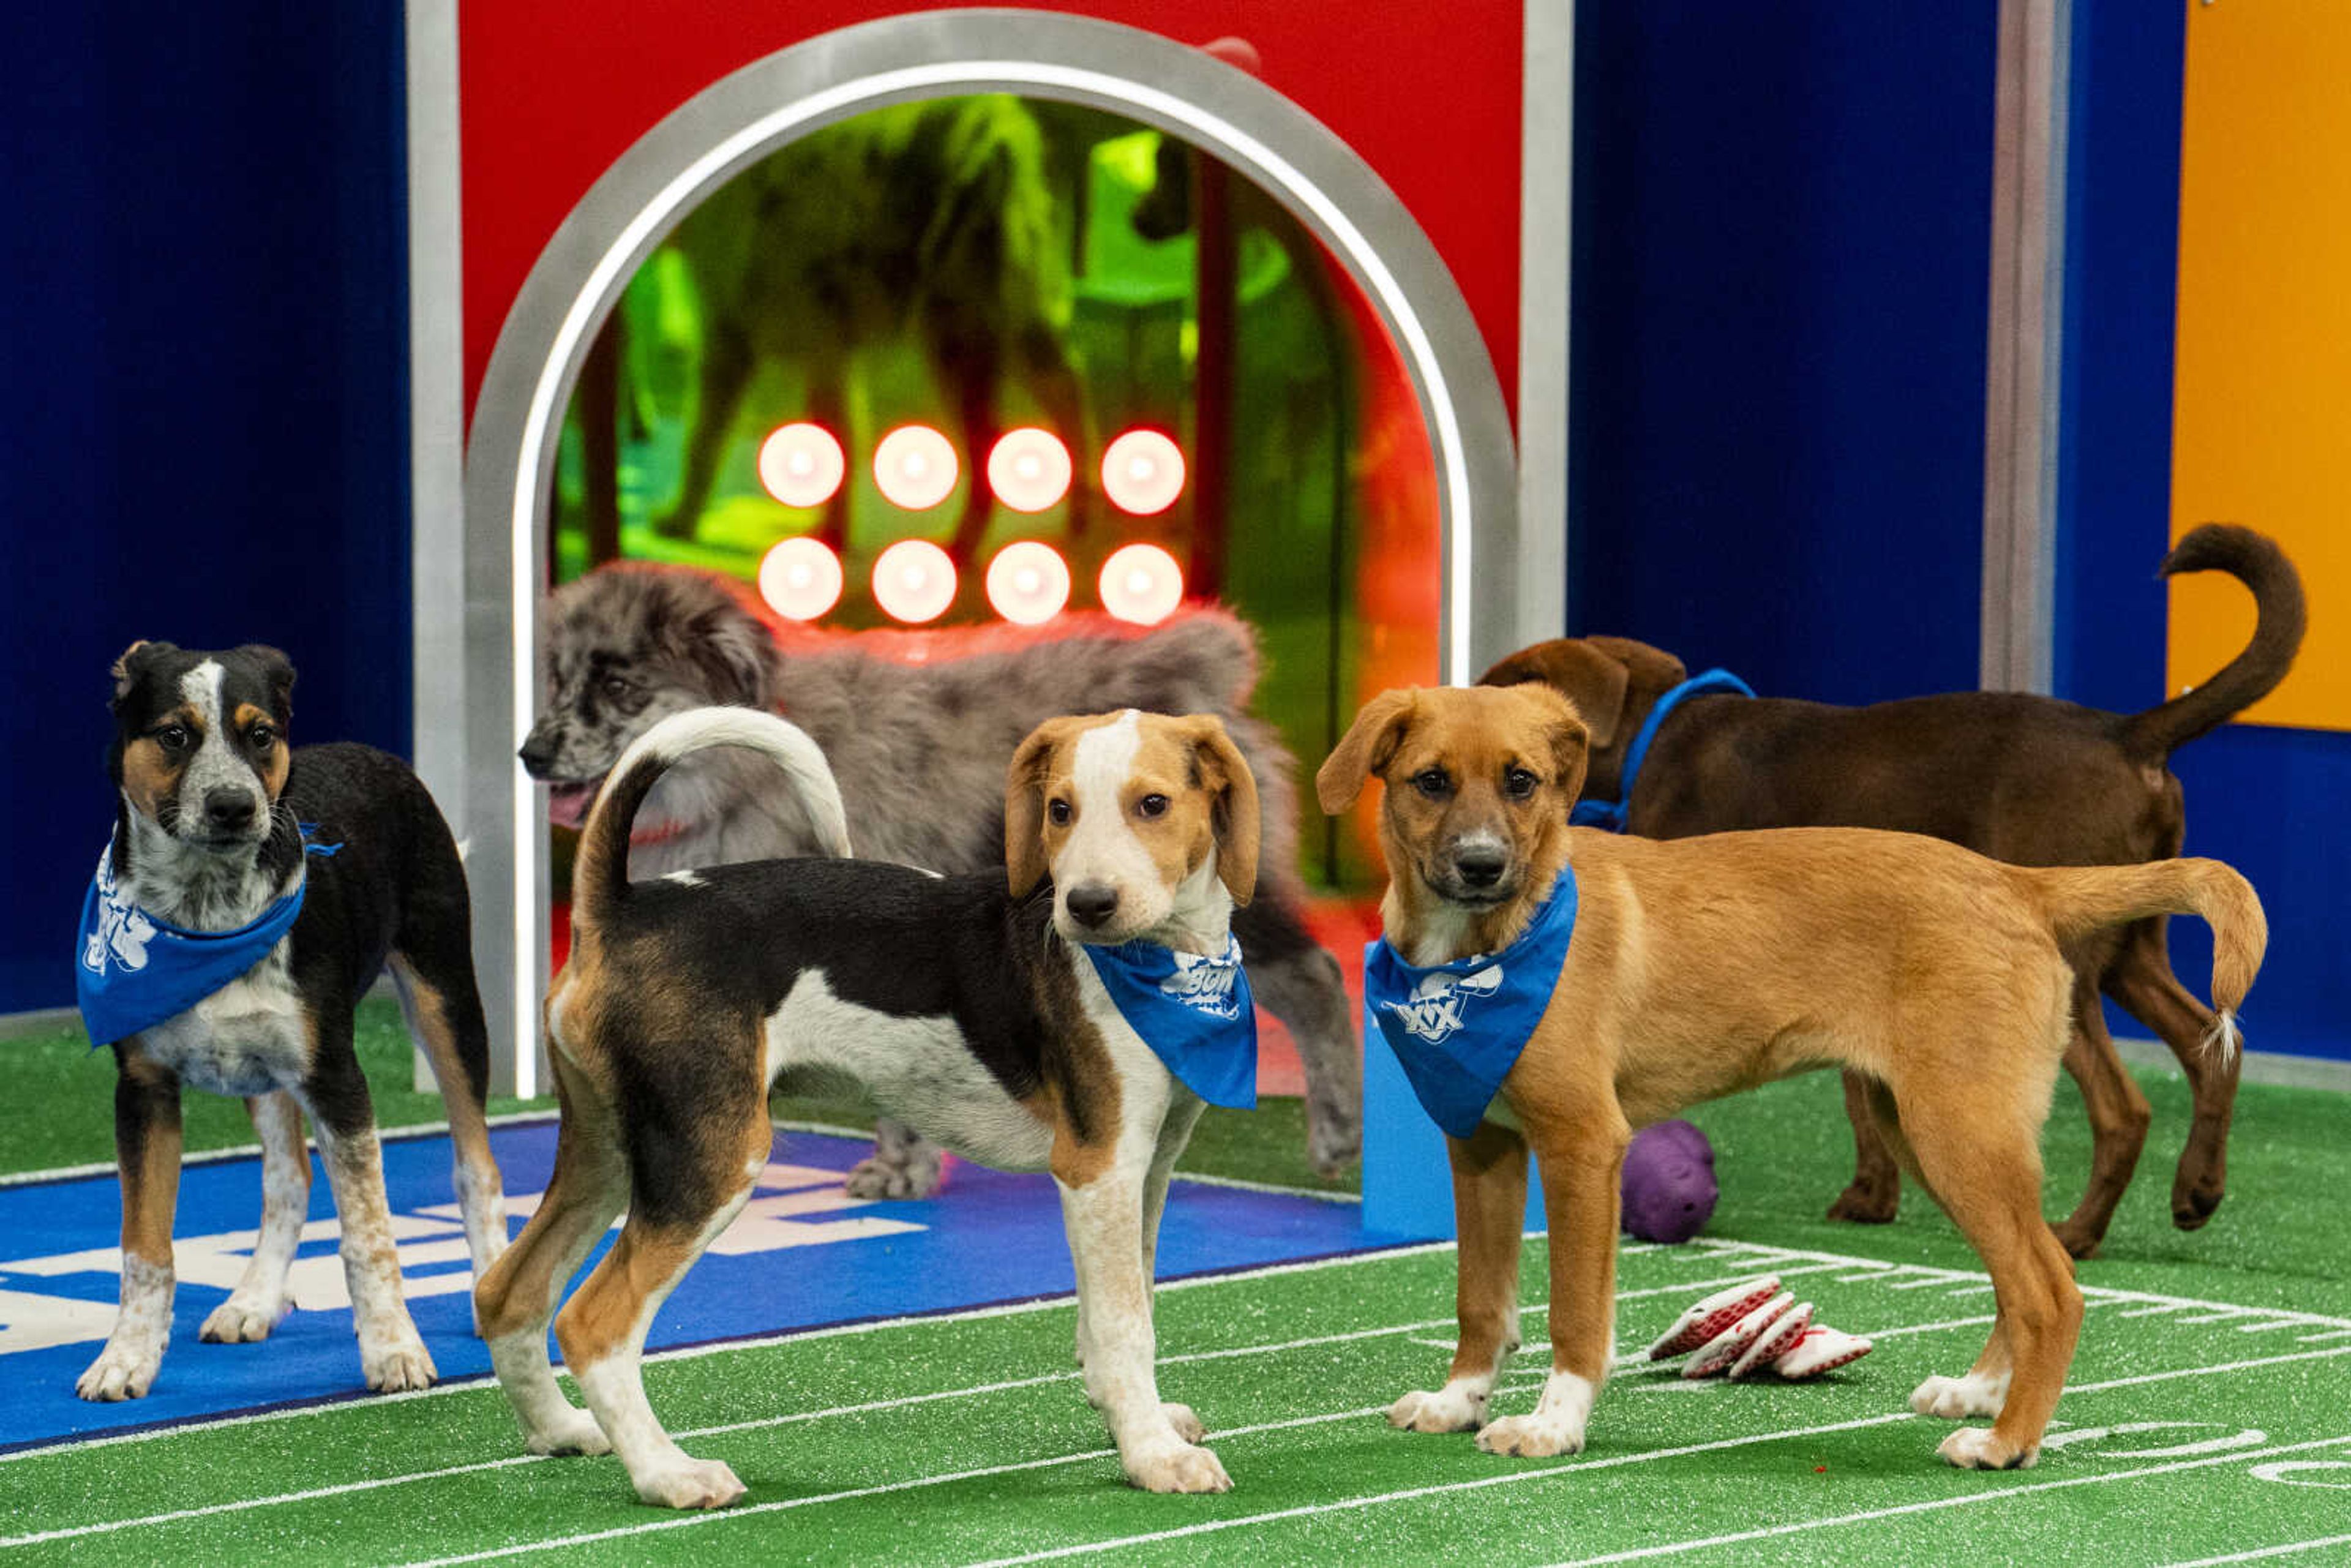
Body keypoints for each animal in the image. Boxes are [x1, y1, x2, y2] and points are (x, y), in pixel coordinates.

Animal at [474, 700, 1269, 1504]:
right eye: (1059, 809)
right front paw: (1153, 1454)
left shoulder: (1148, 1167)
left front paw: (1136, 1420)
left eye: (1154, 805)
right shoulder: (1098, 1167)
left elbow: (1125, 1307)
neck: (1167, 964)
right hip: (711, 1158)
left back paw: (561, 1429)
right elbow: (1124, 1324)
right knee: (592, 1323)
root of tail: (622, 908)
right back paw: (670, 1473)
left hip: (612, 1149)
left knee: (507, 1290)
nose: (1087, 905)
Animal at [514, 564, 1363, 1189]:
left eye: (619, 686)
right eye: (554, 679)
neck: (742, 780)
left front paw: (905, 1168)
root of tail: (1195, 668)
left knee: (1316, 975)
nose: (531, 751)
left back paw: (1339, 1131)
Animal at [1316, 681, 2266, 1476]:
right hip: (1932, 1130)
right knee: (2024, 1278)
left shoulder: (1585, 1144)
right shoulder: (1480, 1142)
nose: (1481, 865)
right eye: (1431, 781)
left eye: (1523, 781)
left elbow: (1575, 1314)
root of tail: (2018, 883)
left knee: (2051, 1290)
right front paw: (1459, 1401)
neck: (1492, 943)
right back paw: (1980, 1395)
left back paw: (2005, 1441)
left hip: (1960, 1130)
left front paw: (1553, 1425)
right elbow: (1482, 1302)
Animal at [1476, 527, 2304, 1260]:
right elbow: (1855, 1082)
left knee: (2125, 1107)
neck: (1660, 727)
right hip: (2133, 948)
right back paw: (2195, 1192)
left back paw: (2078, 1233)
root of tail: (2129, 734)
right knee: (2209, 1046)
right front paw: (1875, 1193)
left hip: (2079, 968)